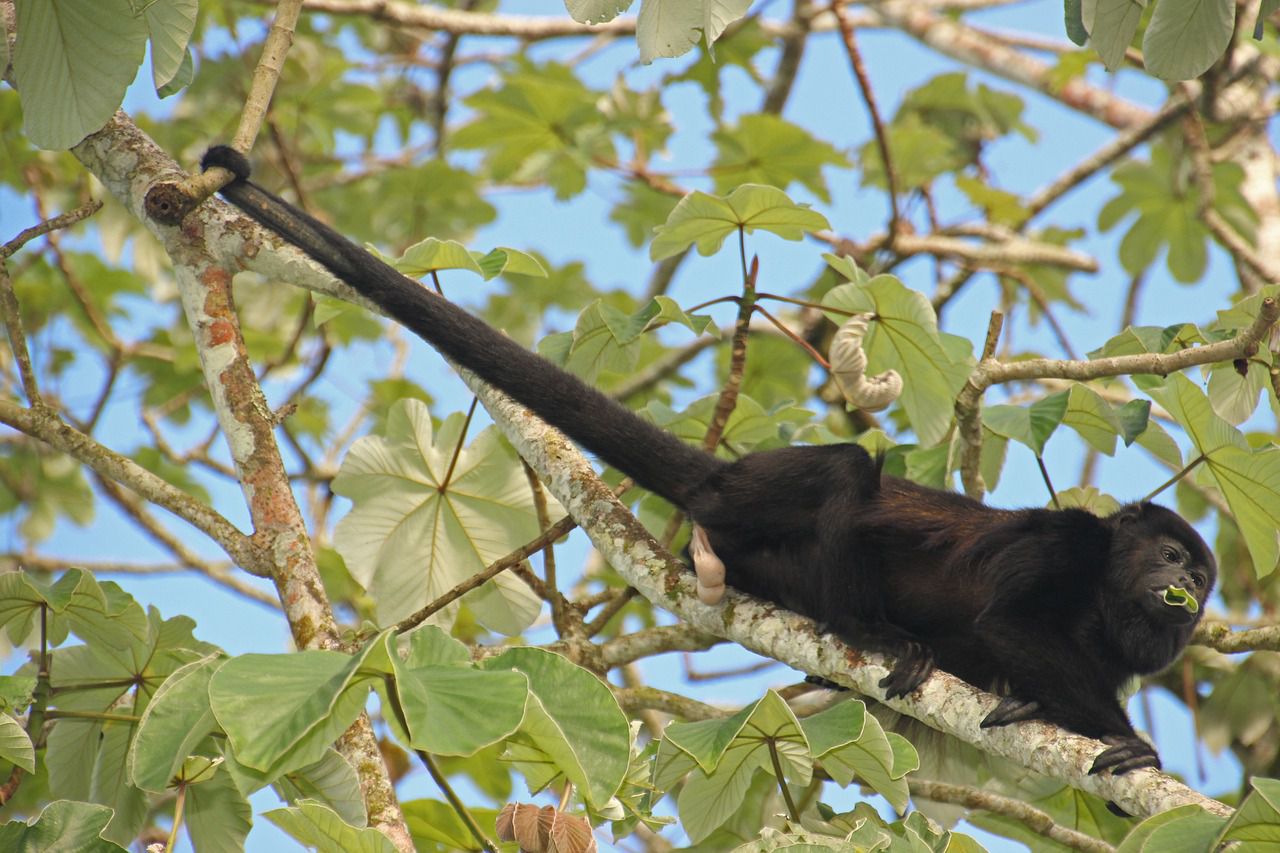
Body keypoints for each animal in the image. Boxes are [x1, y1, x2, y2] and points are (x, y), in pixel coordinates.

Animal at [202, 144, 1218, 768]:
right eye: (1173, 555)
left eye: (1203, 579)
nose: (1189, 591)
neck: (1104, 592)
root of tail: (721, 475)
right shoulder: (1066, 542)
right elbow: (1009, 621)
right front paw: (1134, 744)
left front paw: (1035, 706)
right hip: (755, 493)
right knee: (850, 469)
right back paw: (874, 632)